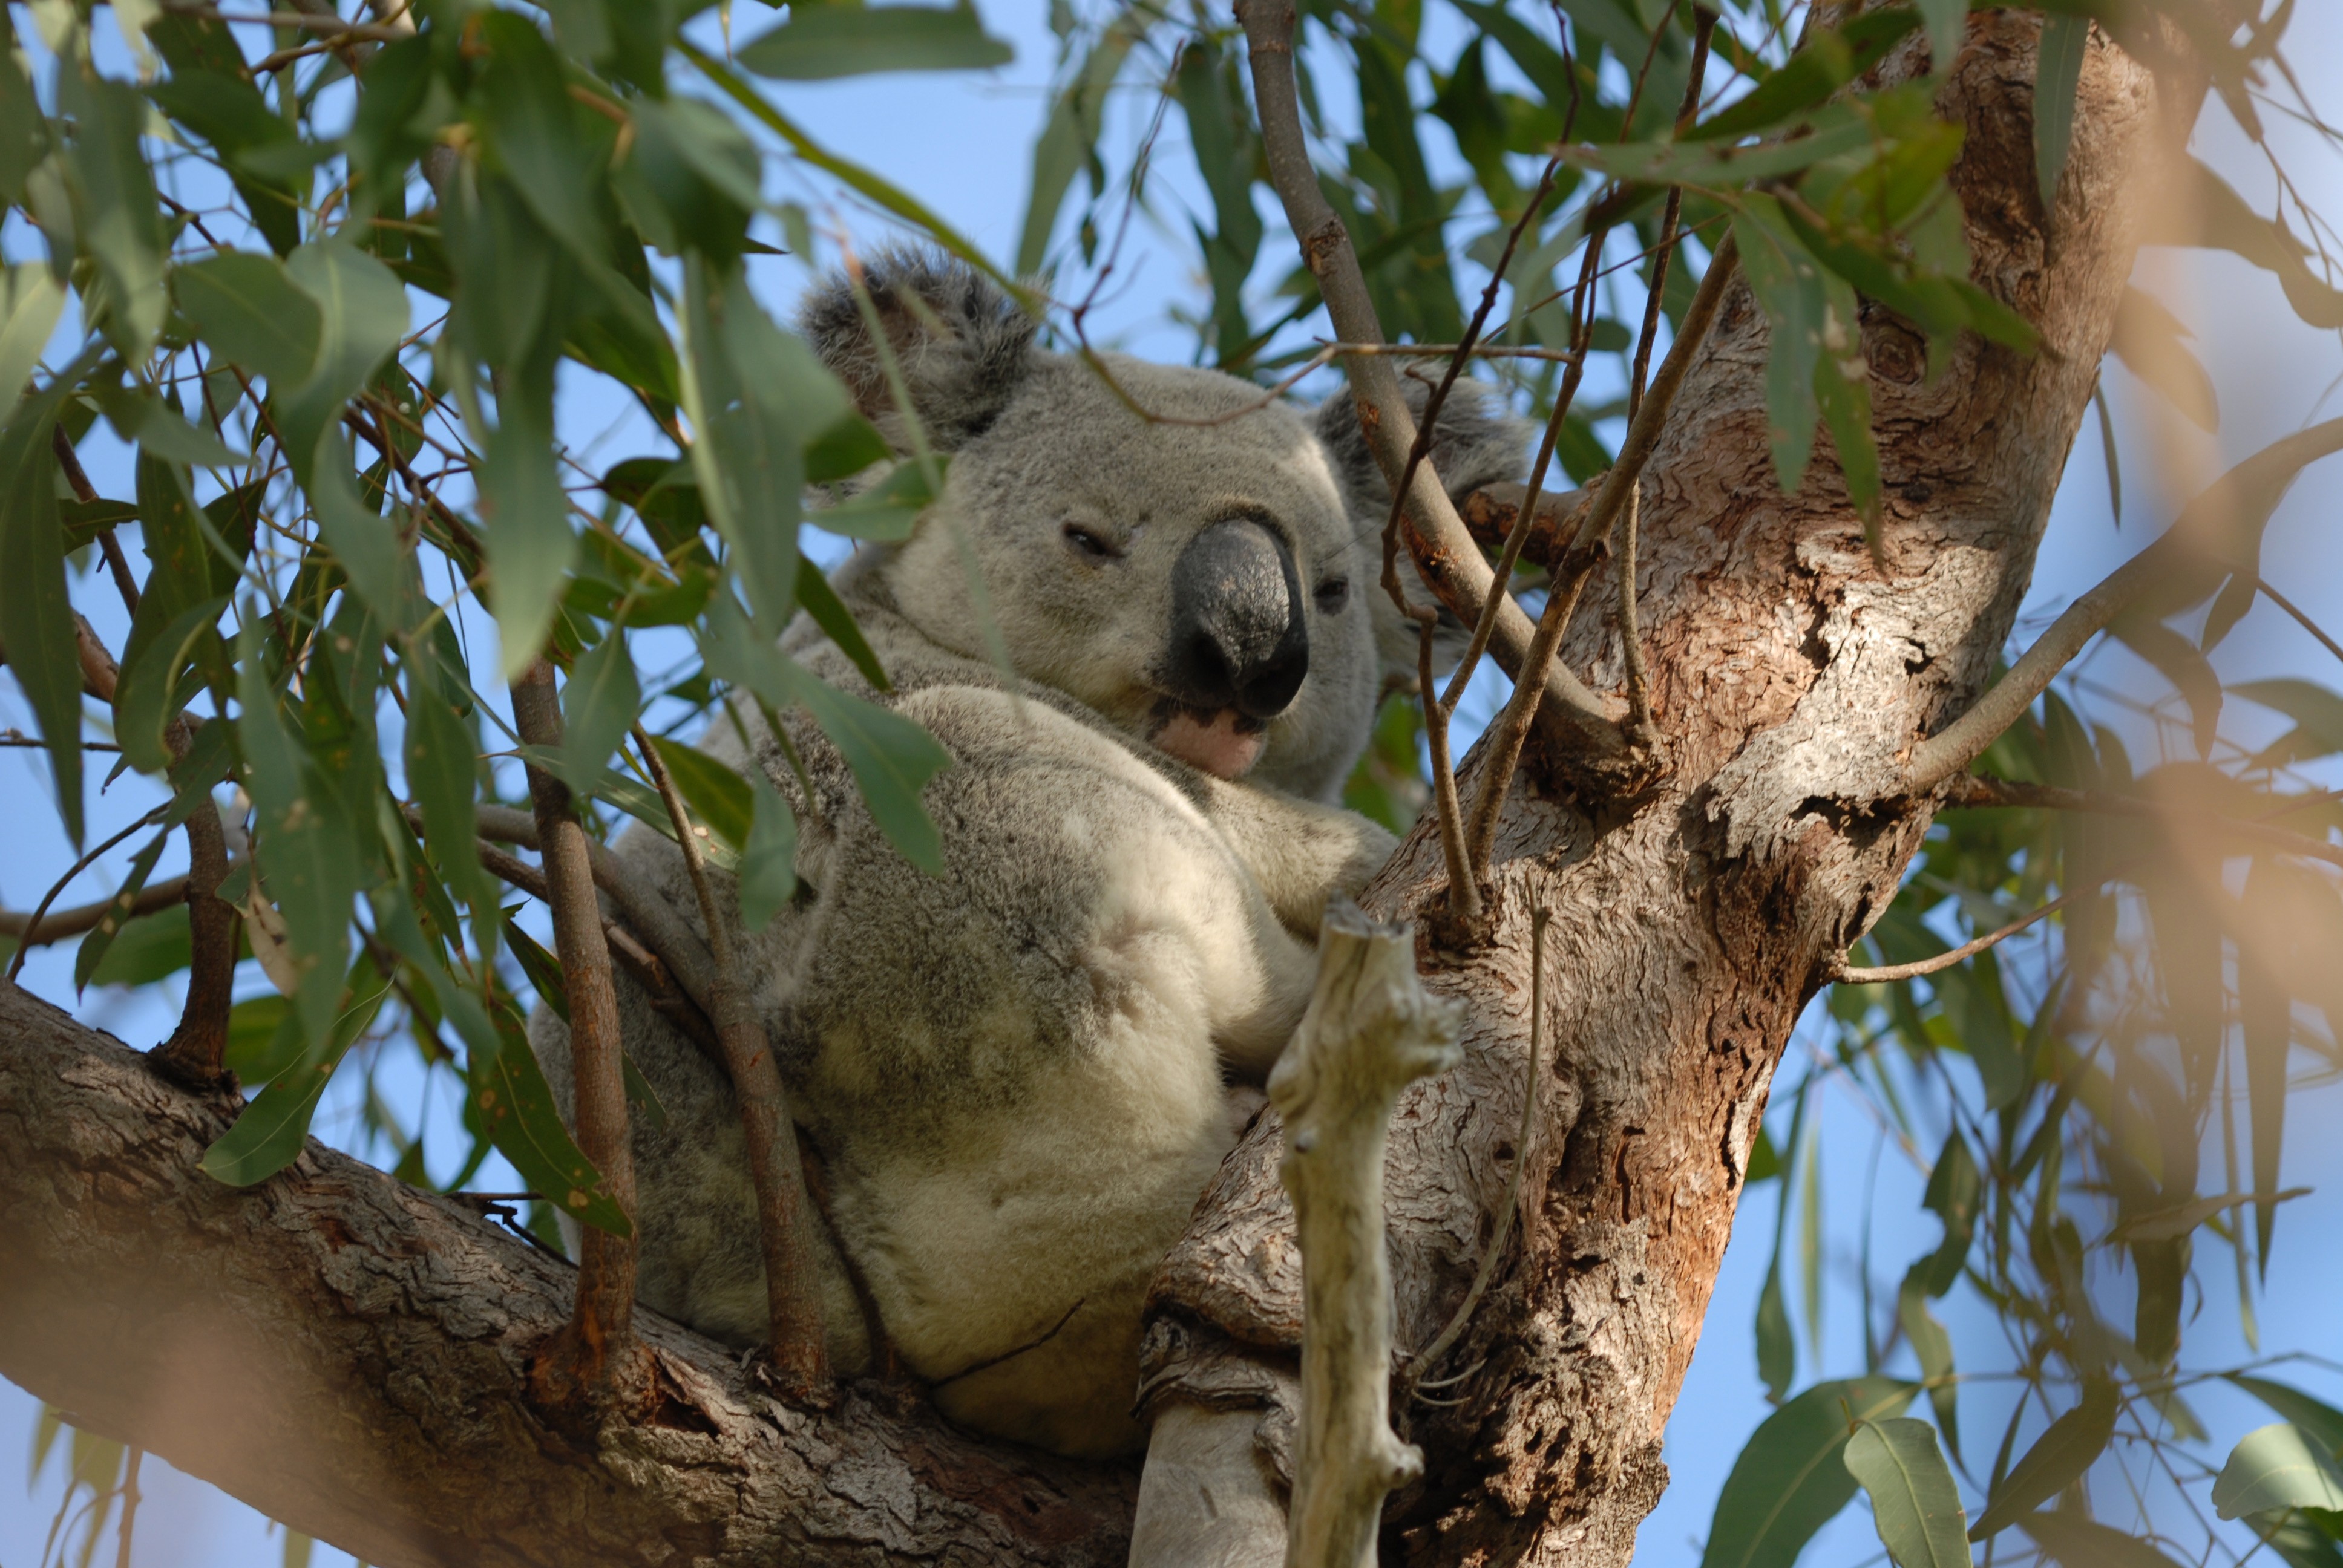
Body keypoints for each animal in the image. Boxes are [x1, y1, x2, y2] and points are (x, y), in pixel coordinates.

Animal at [529, 248, 1522, 1458]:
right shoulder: (888, 695)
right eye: (1087, 539)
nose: (1247, 658)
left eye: (1332, 593)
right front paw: (1368, 856)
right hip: (954, 966)